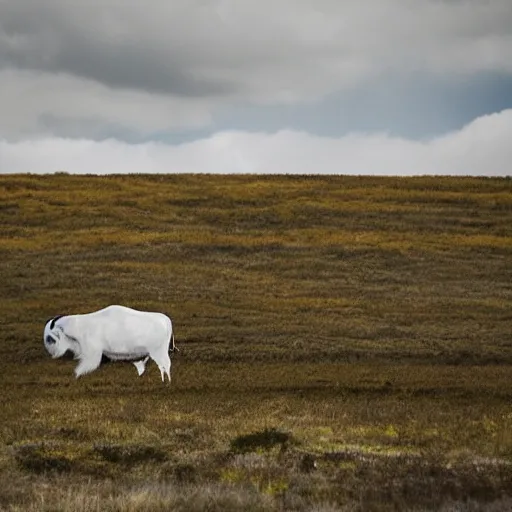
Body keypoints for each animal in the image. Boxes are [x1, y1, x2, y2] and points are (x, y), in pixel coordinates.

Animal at [43, 304, 178, 380]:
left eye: (50, 338)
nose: (51, 353)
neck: (80, 326)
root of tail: (167, 321)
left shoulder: (92, 354)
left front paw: (76, 375)